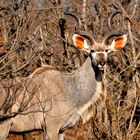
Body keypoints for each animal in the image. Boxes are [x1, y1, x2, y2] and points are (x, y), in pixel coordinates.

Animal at [0, 12, 127, 140]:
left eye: (106, 50)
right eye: (92, 51)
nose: (102, 63)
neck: (70, 87)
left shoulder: (61, 130)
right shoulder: (51, 127)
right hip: (4, 128)